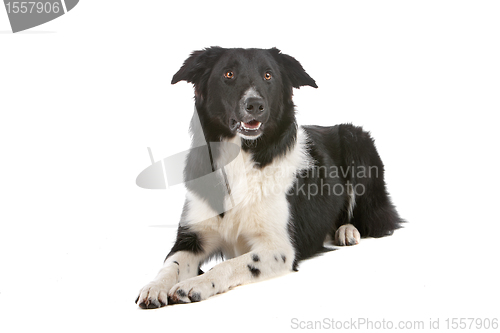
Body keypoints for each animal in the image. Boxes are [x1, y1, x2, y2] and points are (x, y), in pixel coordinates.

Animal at [136, 48, 402, 308]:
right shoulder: (192, 237)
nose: (254, 104)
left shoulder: (279, 249)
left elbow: (227, 265)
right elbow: (170, 264)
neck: (241, 158)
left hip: (356, 141)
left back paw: (347, 230)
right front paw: (154, 286)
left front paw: (196, 283)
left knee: (374, 219)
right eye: (228, 74)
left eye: (268, 75)